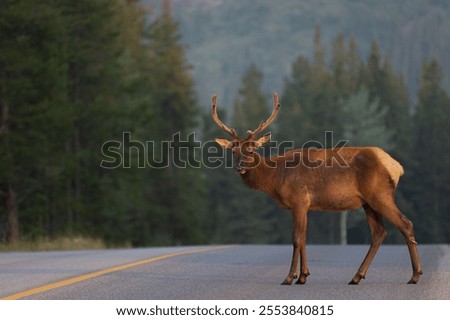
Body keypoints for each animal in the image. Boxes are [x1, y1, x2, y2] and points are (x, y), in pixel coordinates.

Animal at [211, 92, 422, 284]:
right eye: (233, 151)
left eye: (252, 150)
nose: (240, 167)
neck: (275, 178)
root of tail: (396, 166)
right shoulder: (305, 205)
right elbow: (304, 238)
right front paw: (303, 276)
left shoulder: (298, 199)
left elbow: (296, 238)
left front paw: (289, 277)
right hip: (367, 202)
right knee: (379, 232)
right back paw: (357, 276)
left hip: (379, 194)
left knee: (405, 224)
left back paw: (415, 275)